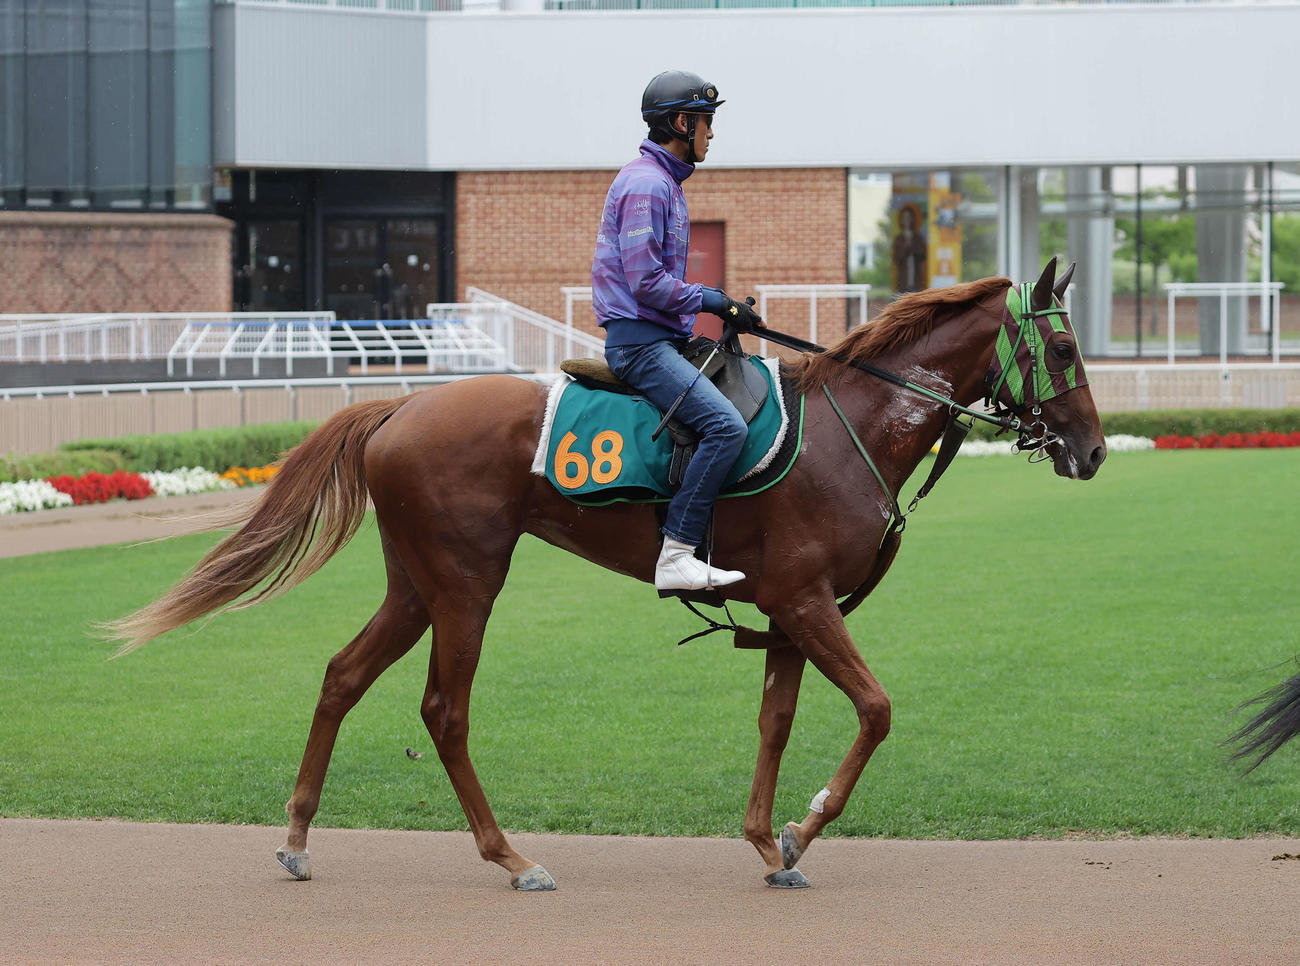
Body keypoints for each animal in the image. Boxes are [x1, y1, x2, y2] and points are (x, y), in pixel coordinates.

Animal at [105, 258, 1107, 891]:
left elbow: (777, 723)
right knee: (444, 710)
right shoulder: (808, 601)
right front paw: (804, 823)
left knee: (342, 676)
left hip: (415, 584)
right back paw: (511, 859)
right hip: (467, 583)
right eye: (1062, 350)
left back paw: (298, 838)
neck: (848, 428)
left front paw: (768, 842)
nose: (1093, 450)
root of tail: (402, 407)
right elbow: (876, 709)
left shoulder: (787, 613)